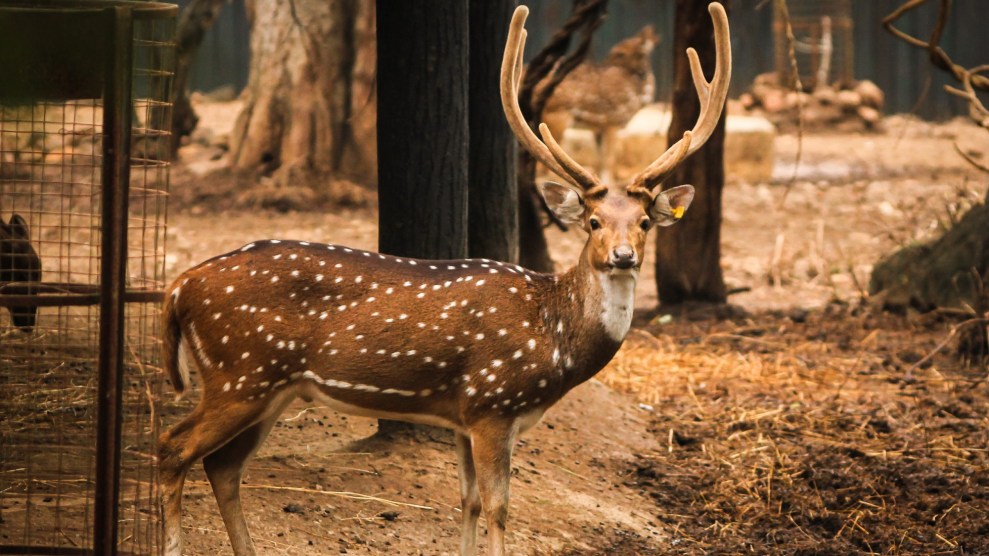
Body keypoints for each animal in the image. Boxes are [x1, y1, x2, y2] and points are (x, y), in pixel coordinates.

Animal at [536, 21, 660, 177]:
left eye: (621, 53)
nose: (604, 63)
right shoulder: (613, 122)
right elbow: (609, 162)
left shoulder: (600, 128)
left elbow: (602, 162)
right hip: (556, 117)